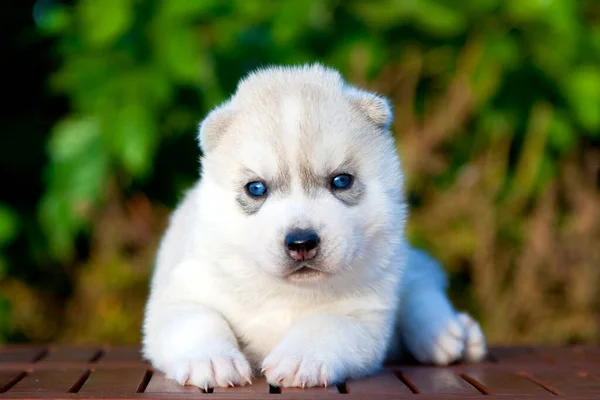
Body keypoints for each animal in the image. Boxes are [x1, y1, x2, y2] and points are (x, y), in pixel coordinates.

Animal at [142, 64, 488, 390]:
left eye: (341, 180)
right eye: (256, 188)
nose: (301, 243)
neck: (287, 293)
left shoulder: (363, 316)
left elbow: (326, 324)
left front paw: (299, 358)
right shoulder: (182, 288)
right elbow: (195, 318)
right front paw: (213, 360)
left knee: (421, 279)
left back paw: (449, 333)